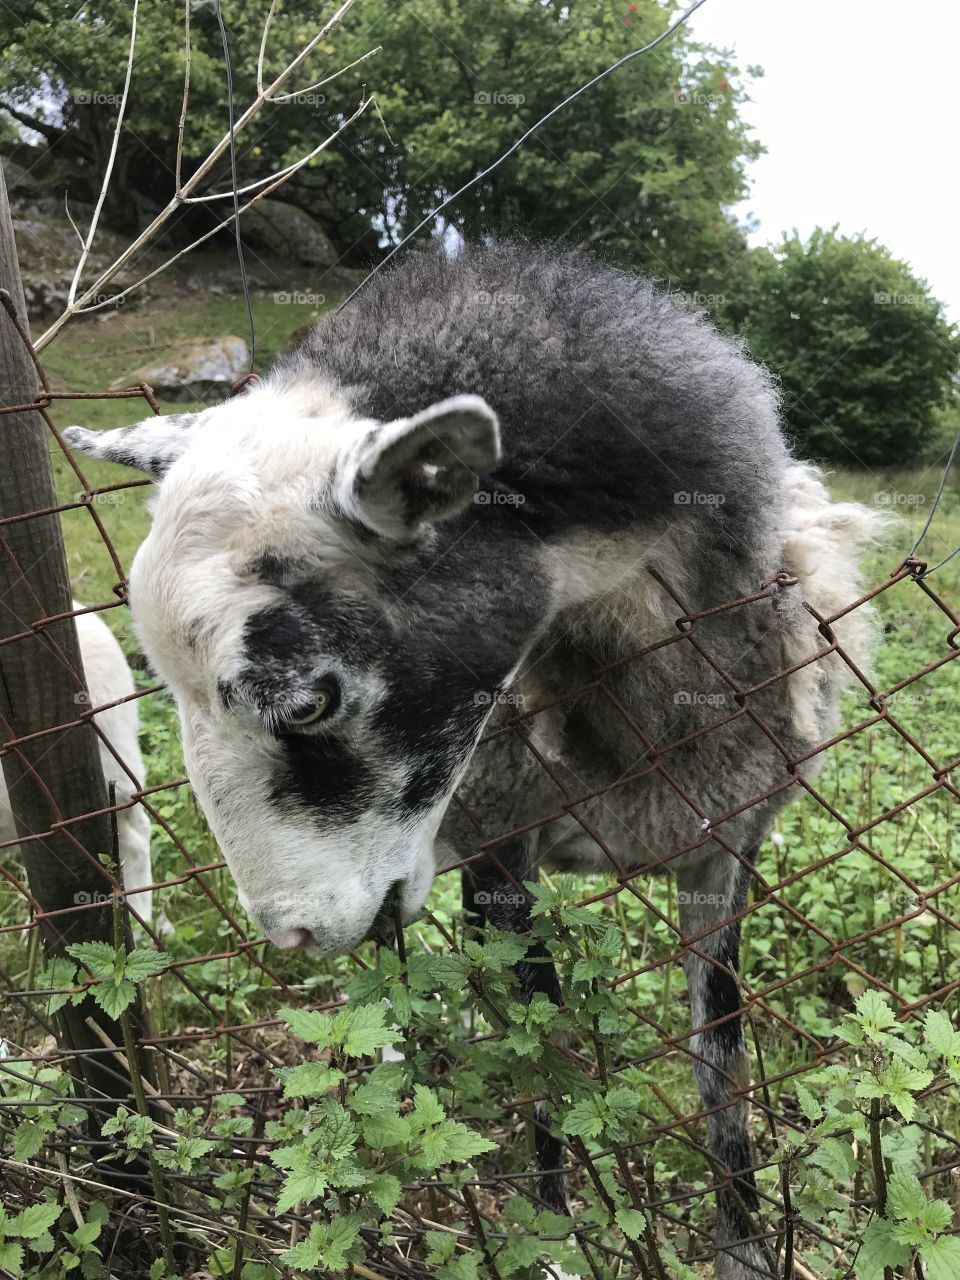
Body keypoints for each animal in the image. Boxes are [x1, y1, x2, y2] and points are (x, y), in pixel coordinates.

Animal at [63, 242, 883, 1278]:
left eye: (309, 700)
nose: (288, 938)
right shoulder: (503, 846)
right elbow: (544, 1054)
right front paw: (554, 1240)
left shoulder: (727, 852)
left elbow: (721, 1067)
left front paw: (740, 1247)